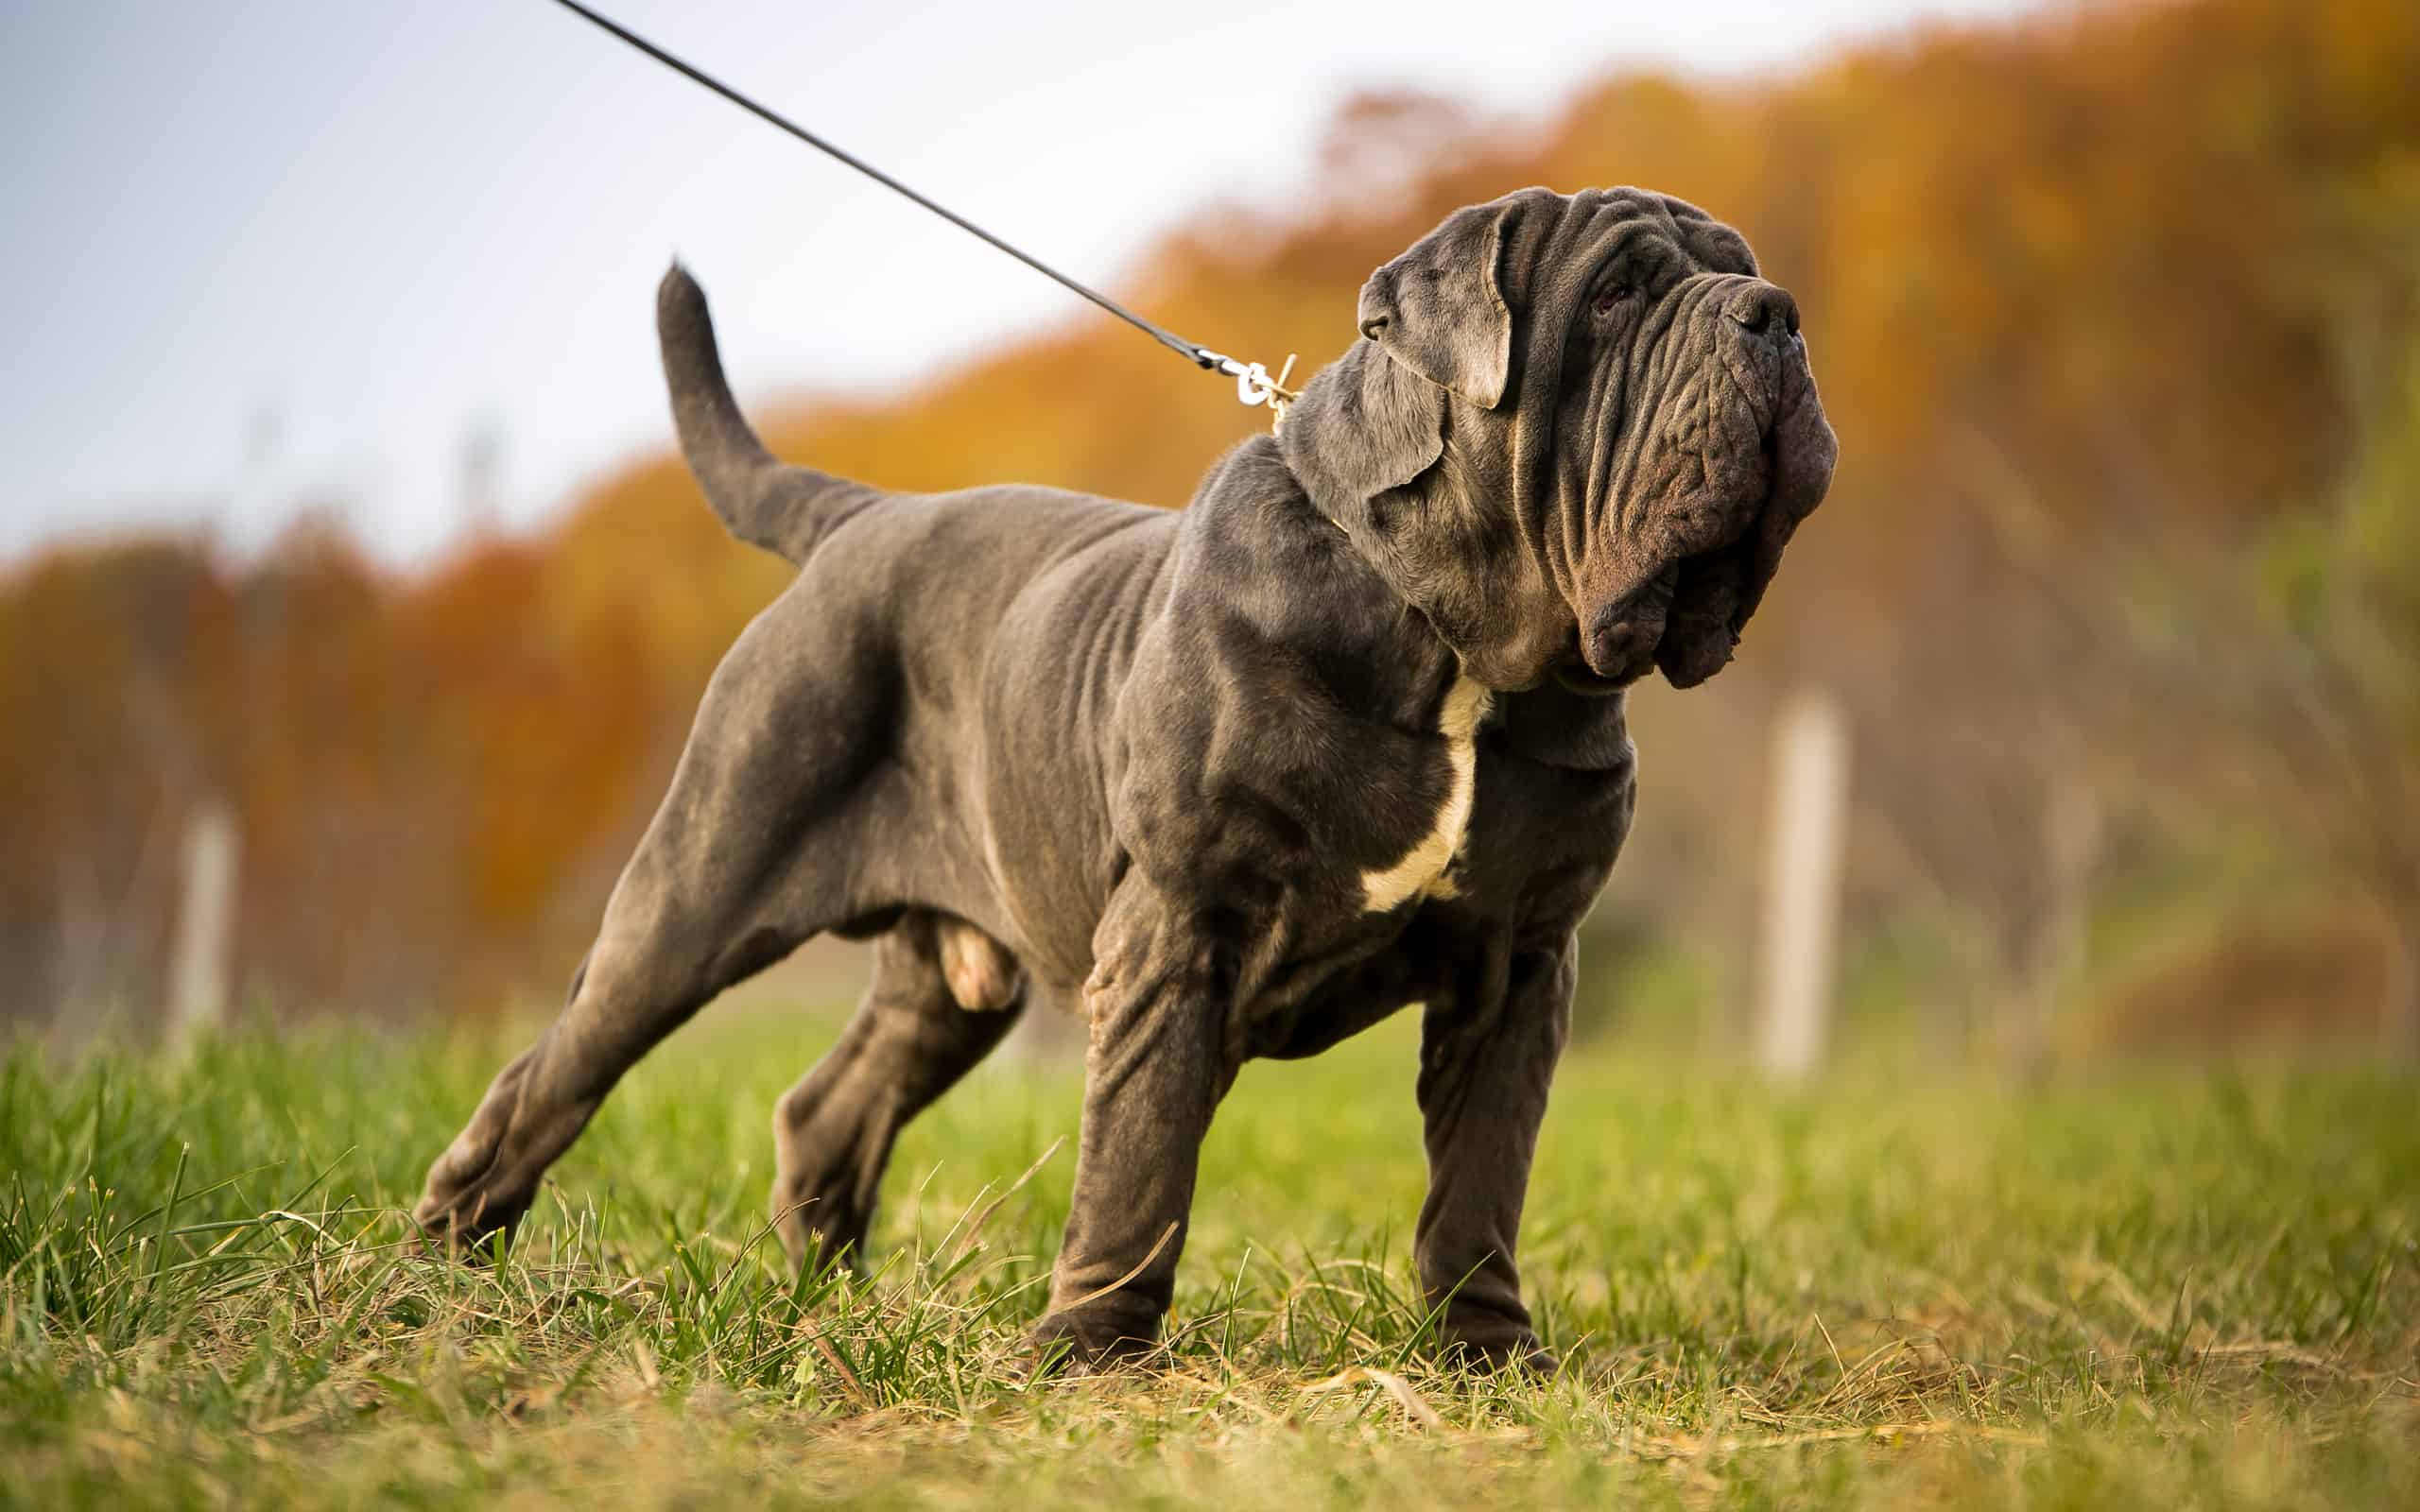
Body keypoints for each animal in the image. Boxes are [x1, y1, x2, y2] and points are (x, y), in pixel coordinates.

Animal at [416, 182, 1829, 1364]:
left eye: (1739, 270)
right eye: (1616, 295)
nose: (1775, 313)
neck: (1454, 641)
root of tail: (860, 516)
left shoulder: (1520, 964)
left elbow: (1480, 1177)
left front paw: (1488, 1358)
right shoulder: (1179, 928)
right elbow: (1141, 1154)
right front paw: (1091, 1353)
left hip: (949, 977)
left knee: (829, 1109)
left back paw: (834, 1309)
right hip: (698, 887)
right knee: (553, 1075)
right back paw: (442, 1276)